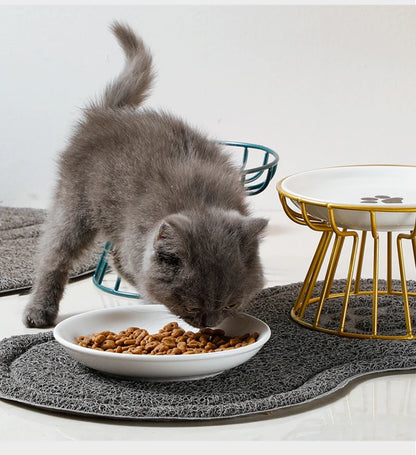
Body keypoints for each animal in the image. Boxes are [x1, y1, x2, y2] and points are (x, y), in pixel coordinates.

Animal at [22, 22, 268, 328]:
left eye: (231, 304)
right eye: (191, 307)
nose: (210, 323)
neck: (200, 200)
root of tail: (106, 113)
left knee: (117, 256)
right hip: (74, 202)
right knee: (54, 254)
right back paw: (39, 310)